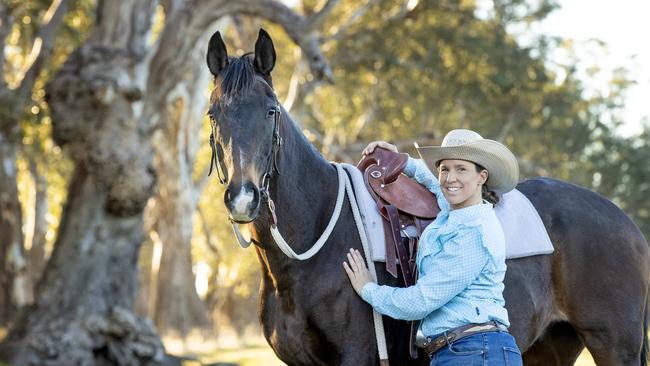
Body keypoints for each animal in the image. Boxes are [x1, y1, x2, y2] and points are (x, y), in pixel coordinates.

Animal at [205, 29, 648, 366]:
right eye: (213, 113)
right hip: (551, 347)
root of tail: (627, 224)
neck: (313, 247)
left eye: (270, 111)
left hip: (614, 345)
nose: (243, 197)